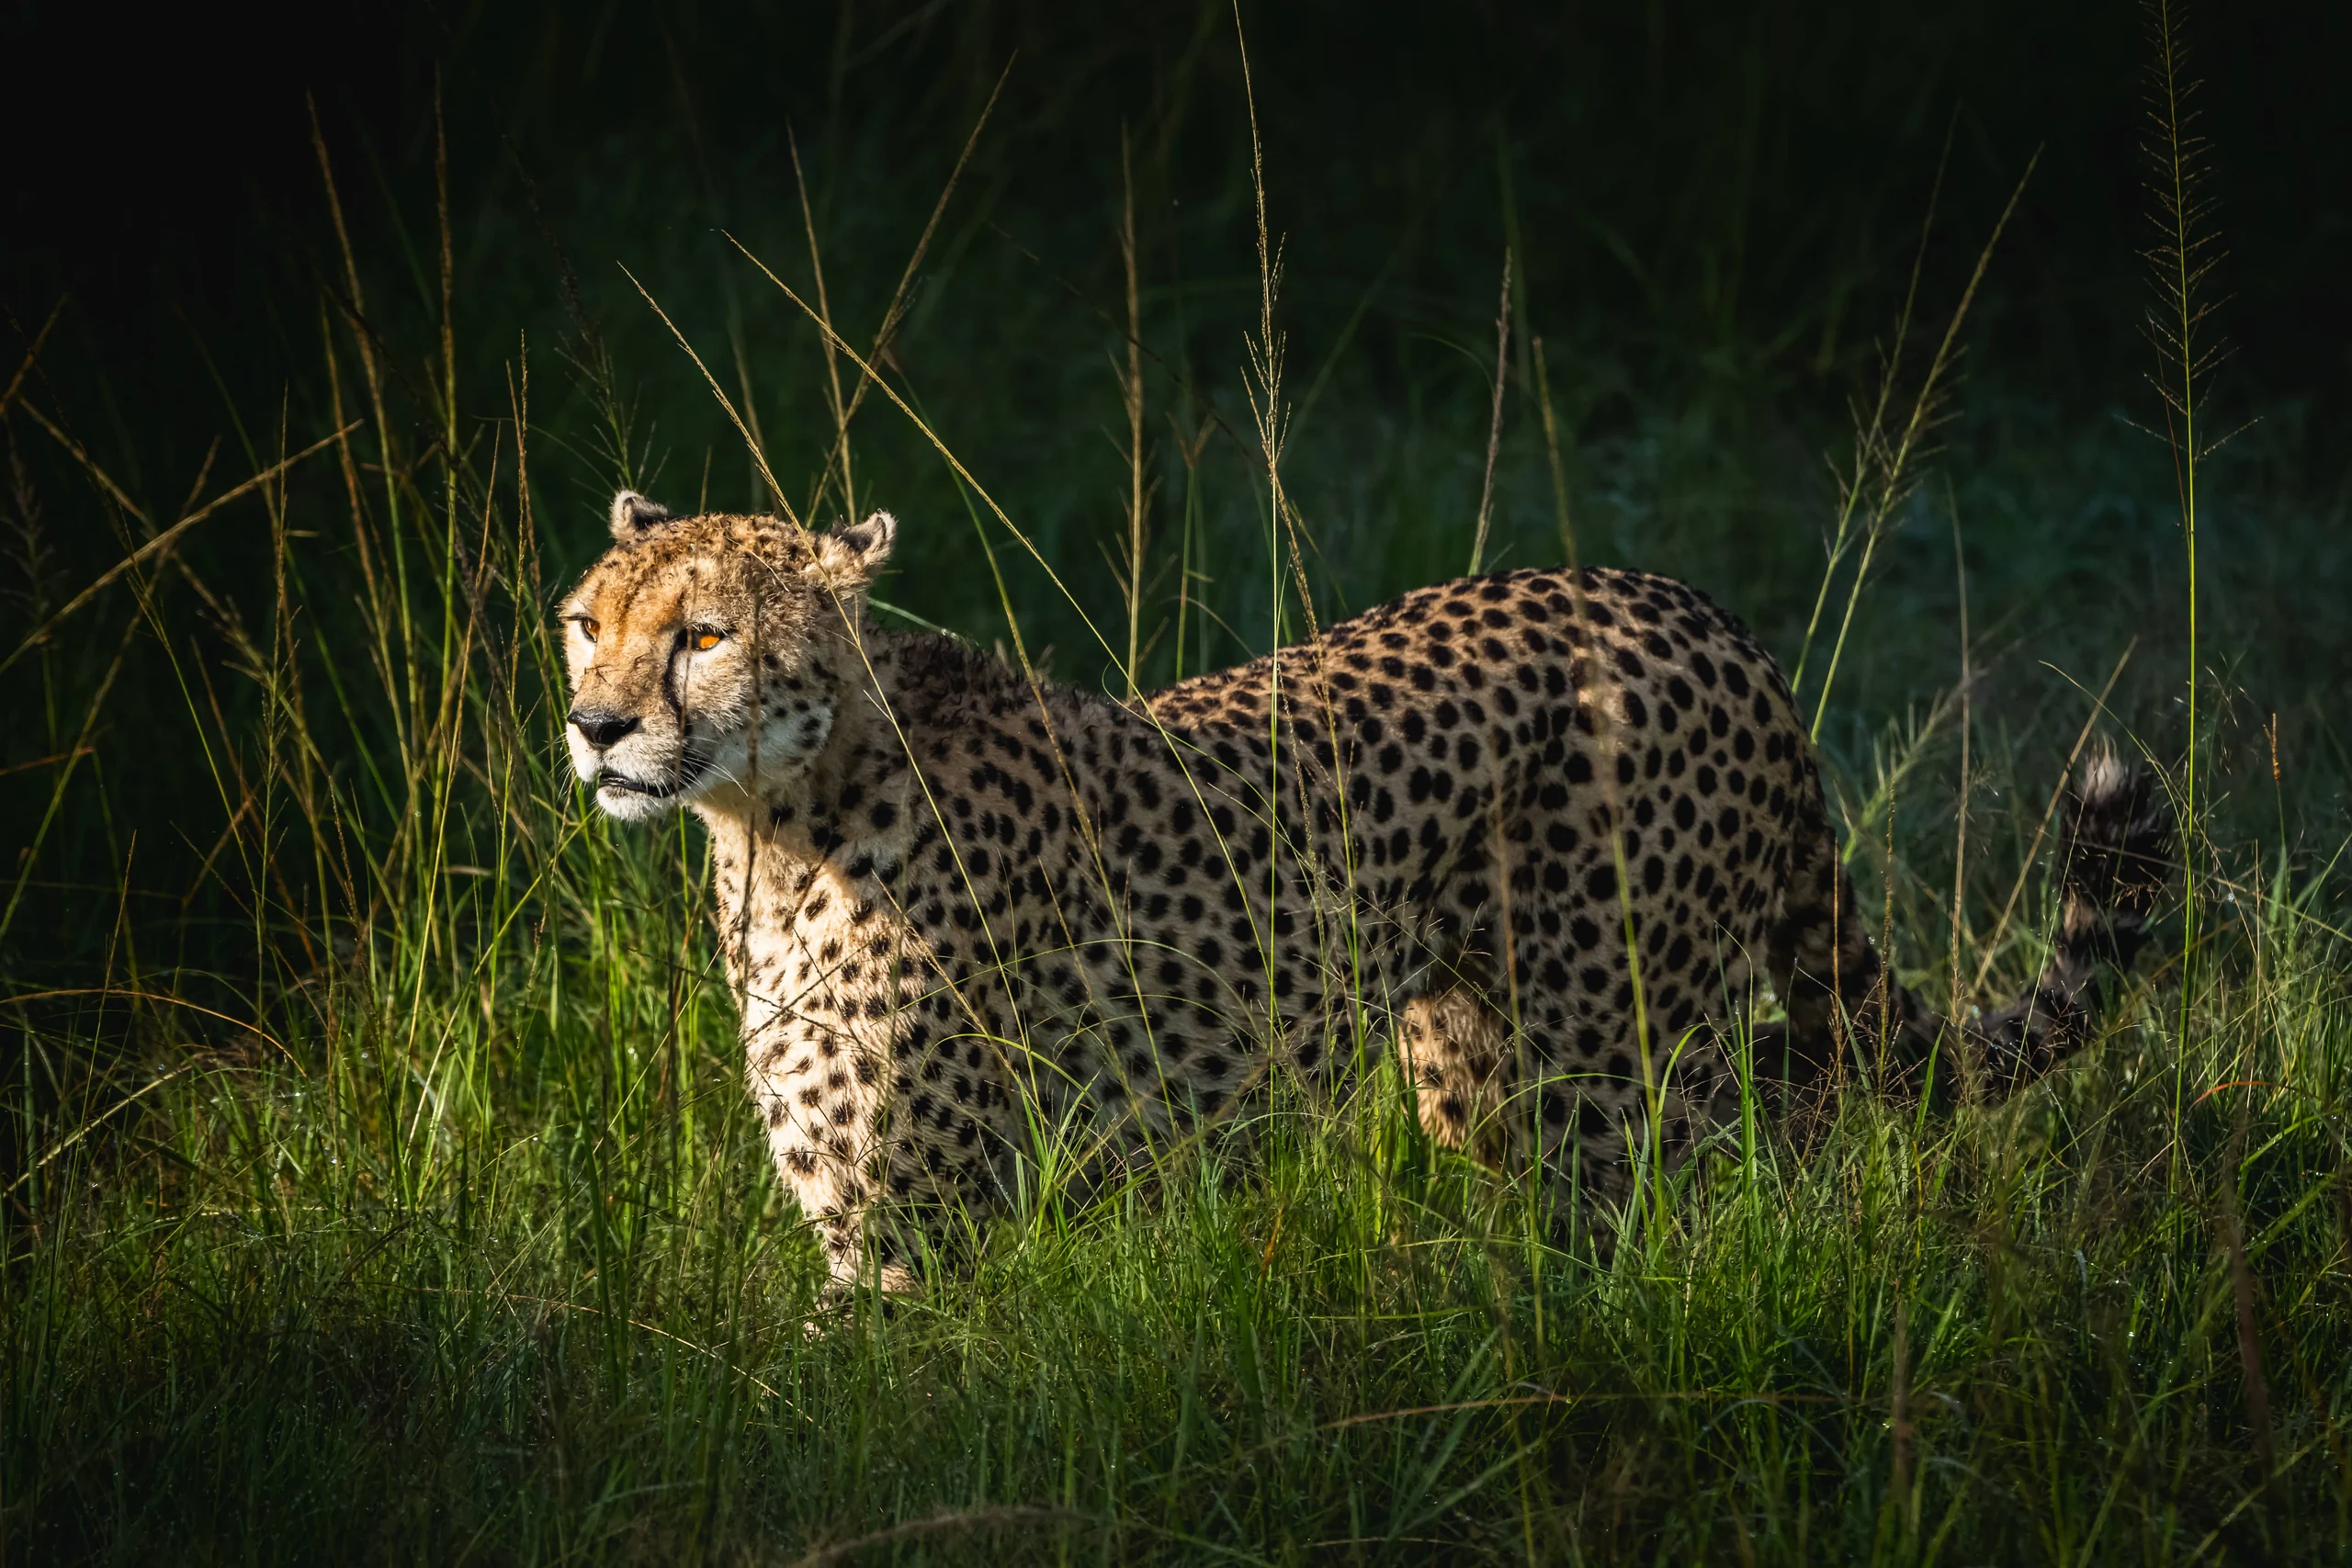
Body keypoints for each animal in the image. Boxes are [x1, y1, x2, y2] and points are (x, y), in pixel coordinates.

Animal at [560, 489, 2168, 1290]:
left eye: (703, 633)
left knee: (1726, 1168)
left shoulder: (910, 1231)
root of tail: (1687, 602)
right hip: (1483, 1067)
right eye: (584, 620)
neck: (775, 825)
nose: (596, 727)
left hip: (1620, 1064)